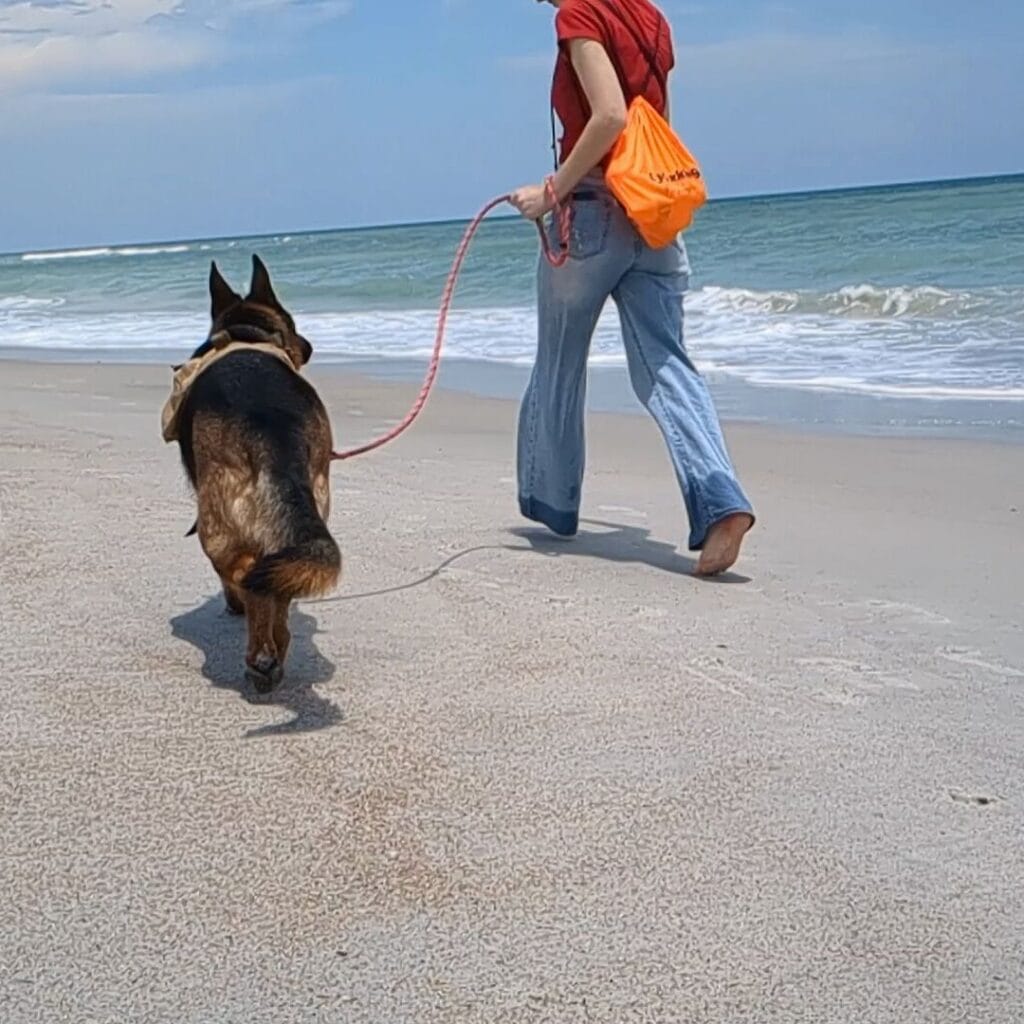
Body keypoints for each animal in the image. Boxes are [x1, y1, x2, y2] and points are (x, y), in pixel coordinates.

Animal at [172, 254, 339, 692]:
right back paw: (275, 647)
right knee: (276, 583)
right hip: (306, 509)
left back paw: (259, 653)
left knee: (246, 577)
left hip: (216, 525)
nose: (309, 346)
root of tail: (273, 429)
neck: (246, 332)